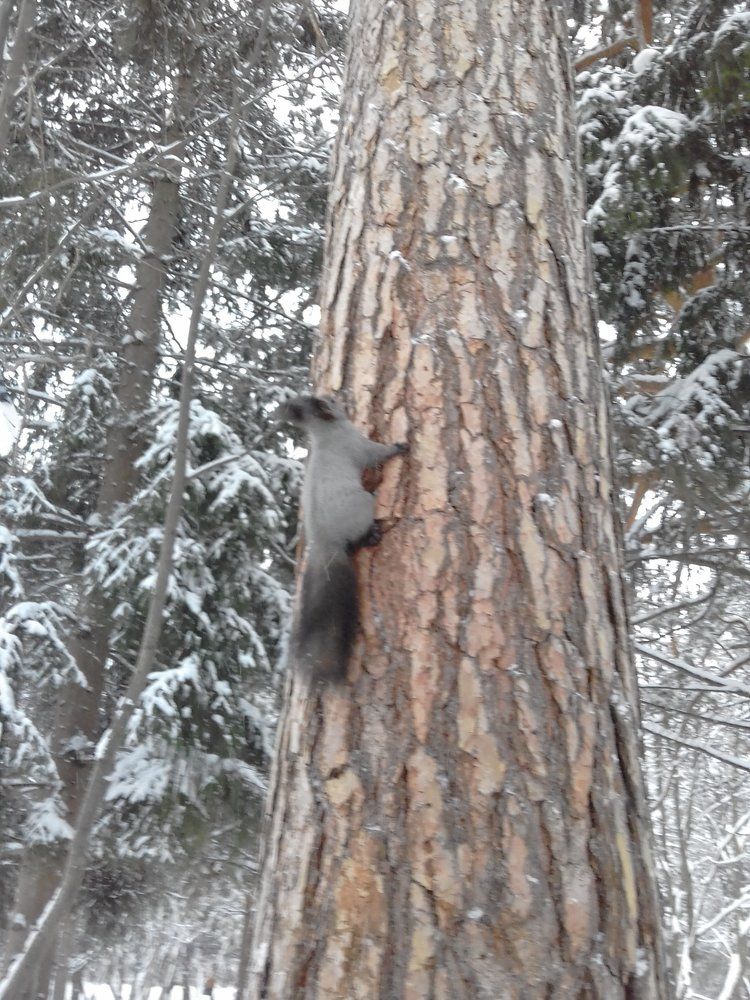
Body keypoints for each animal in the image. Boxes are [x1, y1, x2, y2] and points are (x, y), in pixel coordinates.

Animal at [280, 395, 408, 682]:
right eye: (327, 401)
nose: (339, 397)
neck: (325, 432)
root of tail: (326, 544)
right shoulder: (358, 445)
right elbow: (378, 452)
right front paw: (400, 447)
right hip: (364, 505)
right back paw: (371, 532)